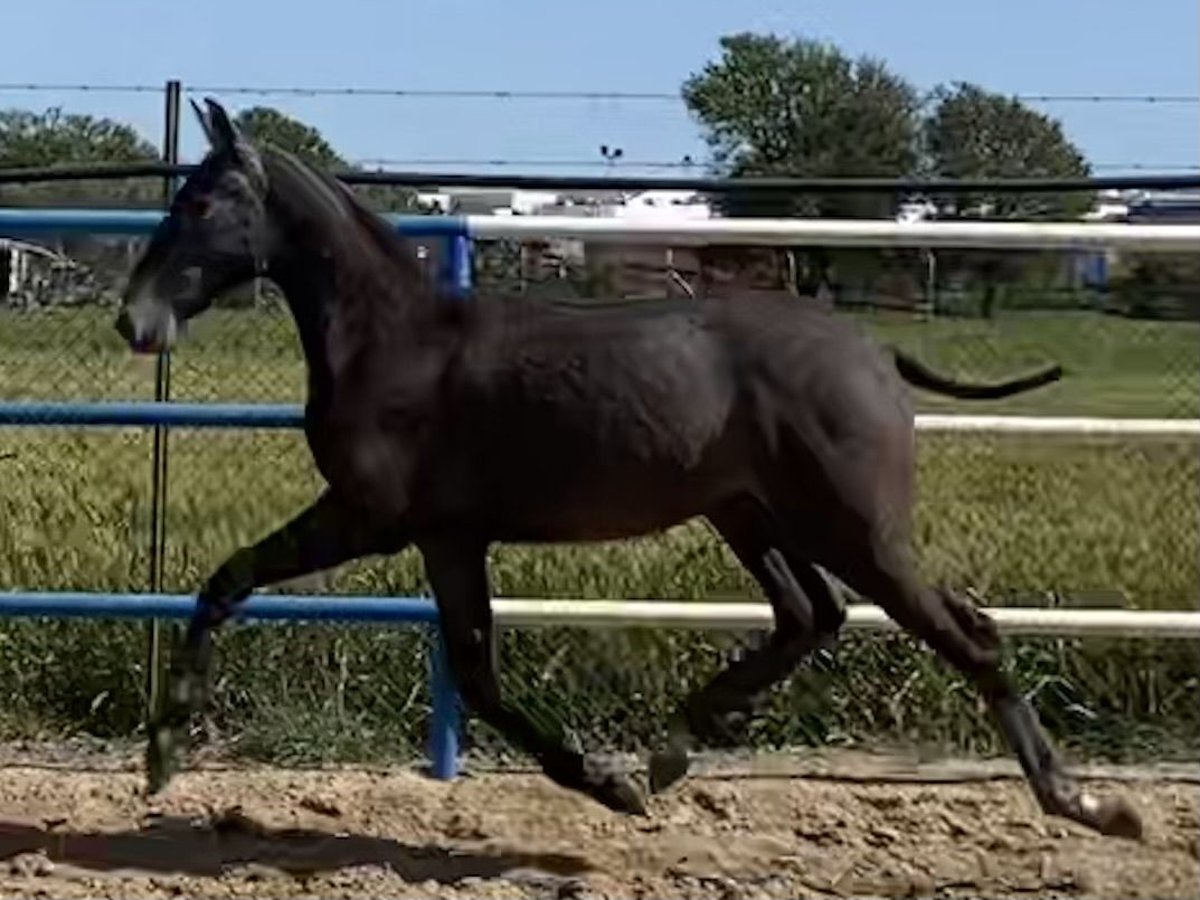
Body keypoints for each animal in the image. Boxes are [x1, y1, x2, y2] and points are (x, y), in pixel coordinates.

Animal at [114, 102, 1142, 844]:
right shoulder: (448, 538)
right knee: (810, 615)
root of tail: (873, 353)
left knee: (962, 633)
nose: (134, 319)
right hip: (751, 516)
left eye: (200, 203)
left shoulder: (371, 517)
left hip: (853, 529)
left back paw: (1090, 806)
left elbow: (232, 580)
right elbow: (472, 672)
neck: (394, 341)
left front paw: (162, 754)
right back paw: (673, 752)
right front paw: (614, 783)